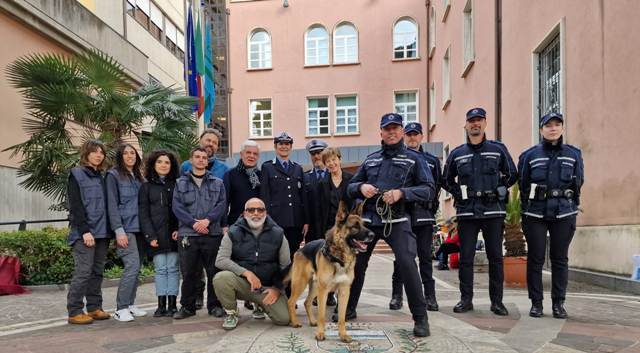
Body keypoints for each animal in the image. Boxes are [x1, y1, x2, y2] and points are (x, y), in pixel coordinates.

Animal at [284, 201, 376, 340]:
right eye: (355, 226)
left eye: (364, 225)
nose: (373, 235)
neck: (340, 258)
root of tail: (301, 249)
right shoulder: (324, 291)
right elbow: (322, 315)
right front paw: (320, 333)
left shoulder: (344, 291)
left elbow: (342, 318)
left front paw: (343, 335)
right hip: (302, 283)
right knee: (290, 301)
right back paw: (295, 322)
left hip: (315, 286)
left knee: (306, 302)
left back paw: (312, 321)